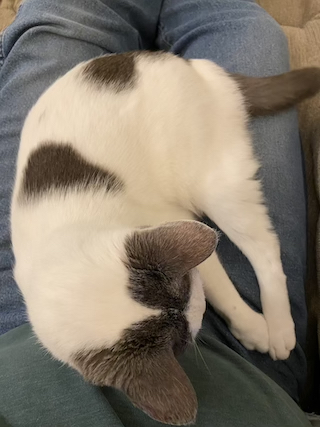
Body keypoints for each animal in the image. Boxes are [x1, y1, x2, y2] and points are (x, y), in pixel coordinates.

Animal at [11, 51, 320, 426]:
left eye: (186, 286)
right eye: (181, 341)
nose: (199, 310)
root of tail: (199, 68)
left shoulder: (171, 223)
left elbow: (221, 286)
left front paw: (252, 328)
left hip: (215, 182)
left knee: (266, 249)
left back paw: (278, 327)